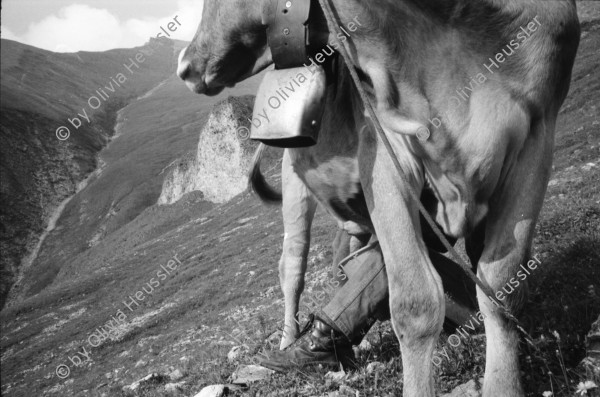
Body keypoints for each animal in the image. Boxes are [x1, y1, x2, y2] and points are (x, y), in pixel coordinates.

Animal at [176, 1, 580, 394]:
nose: (185, 65)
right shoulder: (385, 149)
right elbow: (415, 303)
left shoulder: (539, 134)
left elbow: (501, 285)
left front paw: (503, 382)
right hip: (295, 186)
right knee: (292, 268)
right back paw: (288, 345)